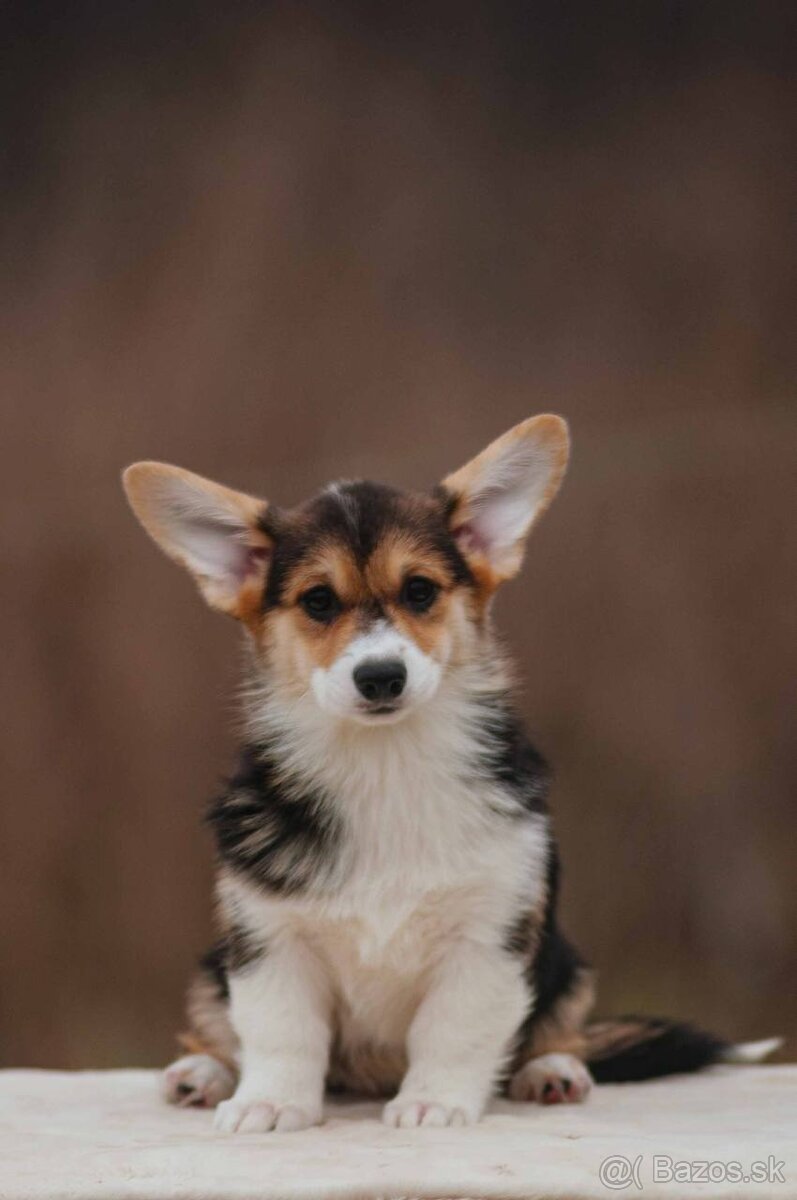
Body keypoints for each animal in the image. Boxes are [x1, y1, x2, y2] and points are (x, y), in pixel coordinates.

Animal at [124, 417, 777, 1128]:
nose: (381, 676)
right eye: (318, 601)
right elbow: (280, 1031)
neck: (385, 763)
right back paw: (203, 1074)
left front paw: (431, 1103)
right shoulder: (270, 938)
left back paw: (552, 1072)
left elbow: (453, 1029)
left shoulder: (489, 936)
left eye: (420, 591)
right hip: (209, 968)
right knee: (215, 1028)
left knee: (559, 1031)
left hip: (567, 965)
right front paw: (269, 1103)